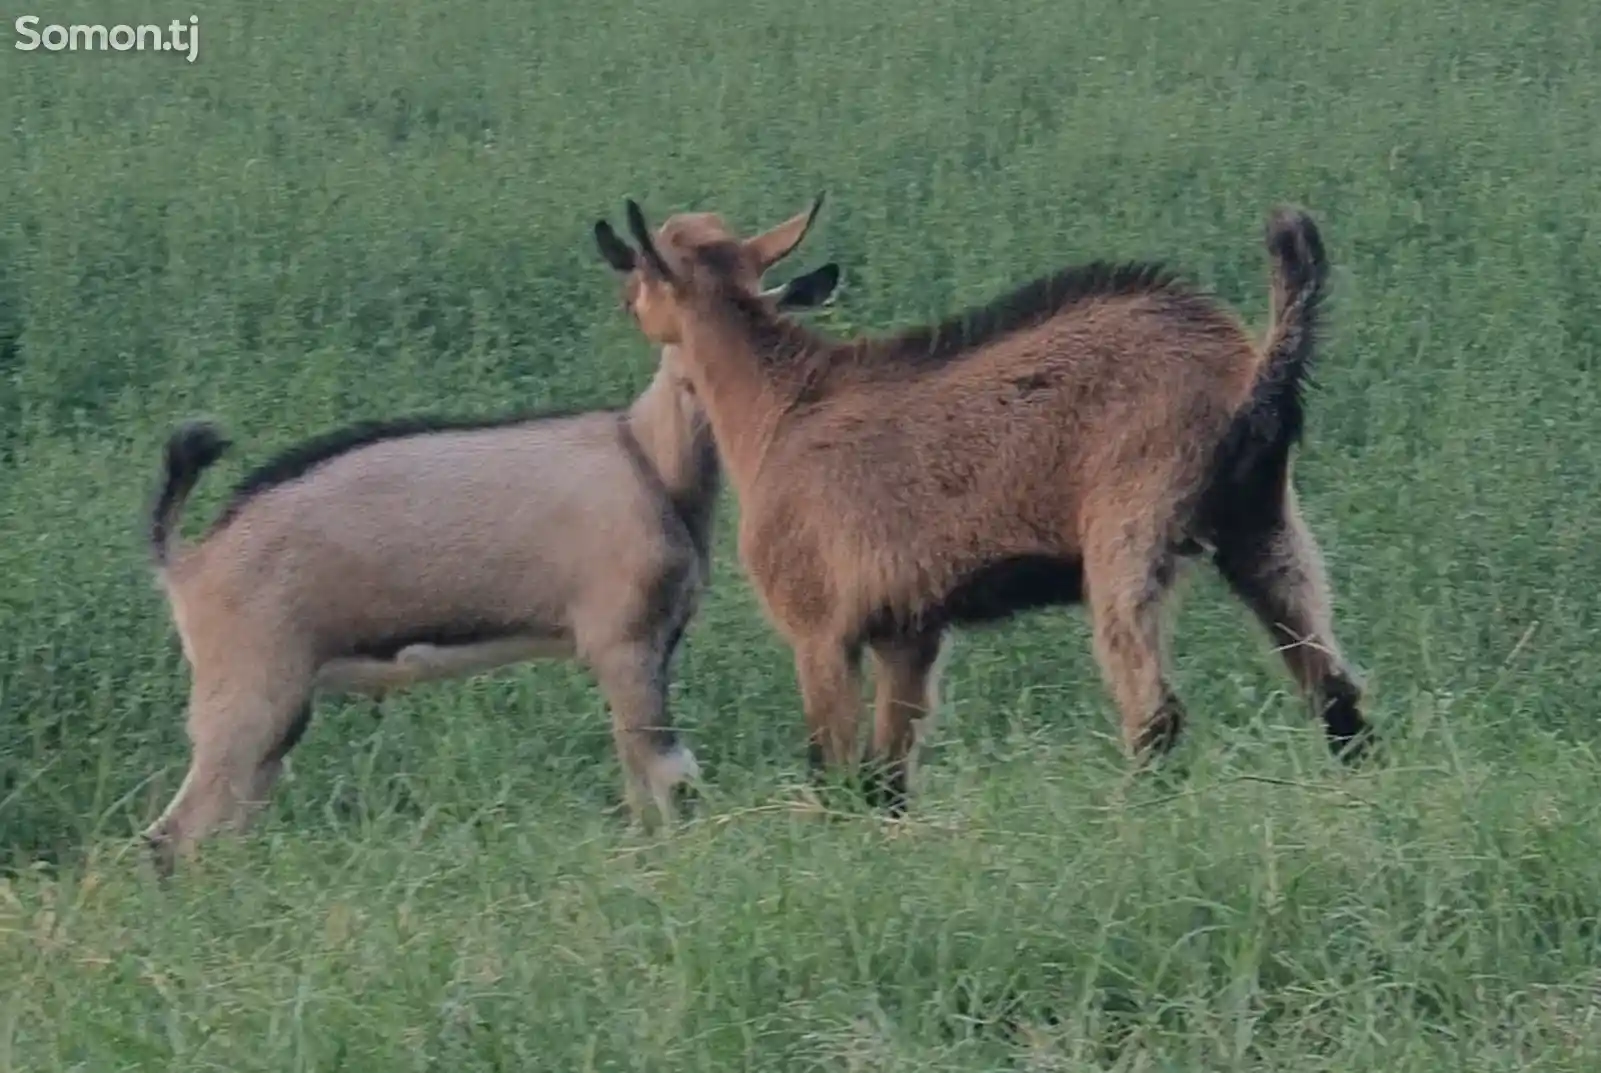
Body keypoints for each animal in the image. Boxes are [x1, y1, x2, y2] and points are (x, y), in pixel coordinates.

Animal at [595, 195, 1370, 816]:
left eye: (642, 274)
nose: (625, 302)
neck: (776, 408)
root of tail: (1246, 369)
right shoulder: (908, 630)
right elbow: (885, 778)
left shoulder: (818, 627)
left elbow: (834, 769)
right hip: (1261, 522)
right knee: (1334, 687)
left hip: (1129, 528)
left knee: (1155, 711)